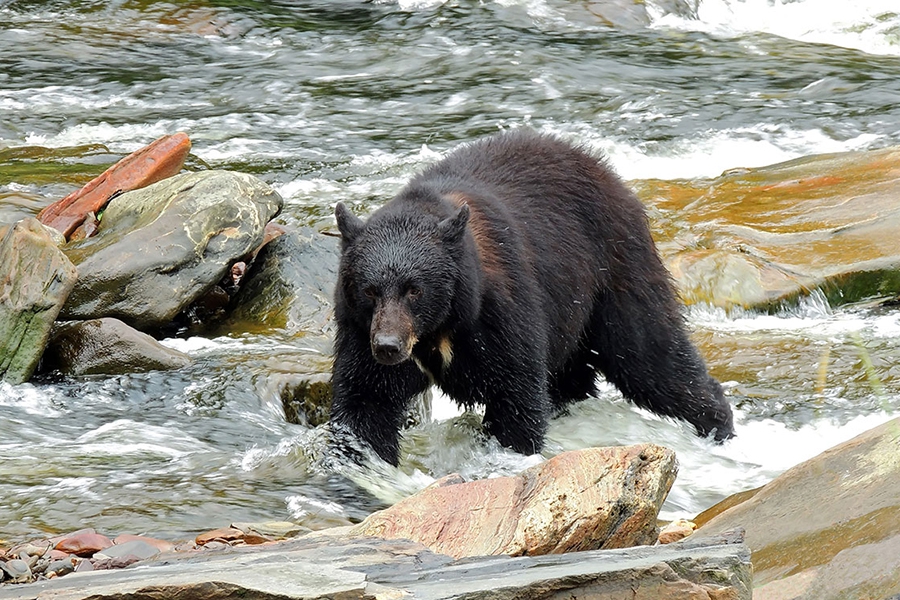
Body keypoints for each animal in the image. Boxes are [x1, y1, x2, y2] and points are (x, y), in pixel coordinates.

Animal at [328, 129, 732, 466]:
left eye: (415, 289)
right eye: (370, 290)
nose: (388, 346)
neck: (439, 330)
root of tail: (609, 173)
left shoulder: (500, 311)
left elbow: (515, 394)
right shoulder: (359, 329)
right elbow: (366, 401)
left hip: (615, 268)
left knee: (648, 355)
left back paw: (718, 423)